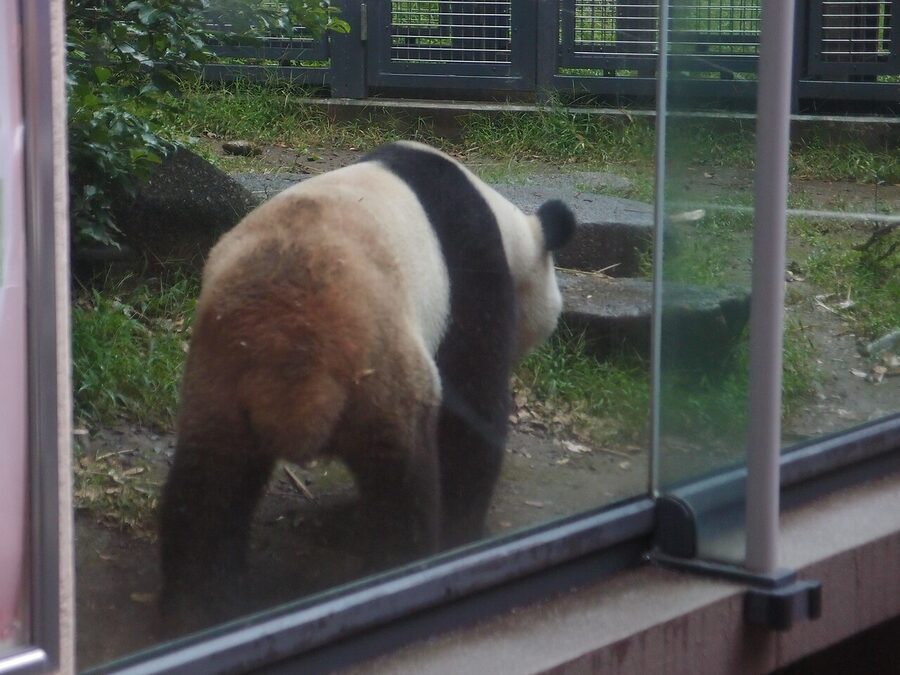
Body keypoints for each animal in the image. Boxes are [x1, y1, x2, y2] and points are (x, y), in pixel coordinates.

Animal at [158, 141, 575, 621]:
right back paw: (402, 565)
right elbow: (473, 405)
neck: (507, 227)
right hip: (382, 372)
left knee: (207, 488)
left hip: (221, 379)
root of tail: (294, 370)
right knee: (401, 484)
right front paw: (464, 527)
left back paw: (201, 603)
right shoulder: (472, 275)